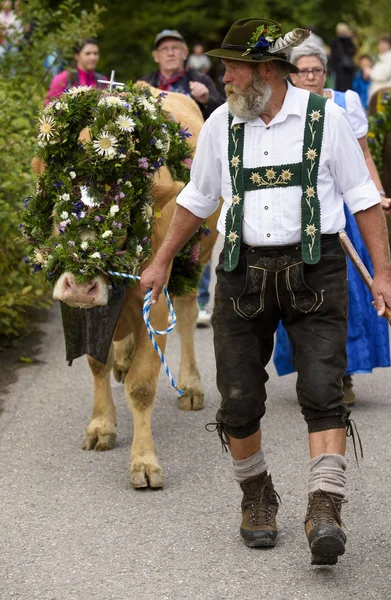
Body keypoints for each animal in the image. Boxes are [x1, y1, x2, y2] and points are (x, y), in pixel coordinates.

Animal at [33, 86, 220, 488]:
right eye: (60, 205)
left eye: (120, 215)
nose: (80, 286)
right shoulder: (84, 309)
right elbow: (96, 363)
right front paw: (101, 425)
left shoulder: (156, 301)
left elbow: (142, 385)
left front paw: (144, 462)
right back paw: (123, 358)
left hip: (195, 258)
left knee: (186, 317)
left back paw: (191, 386)